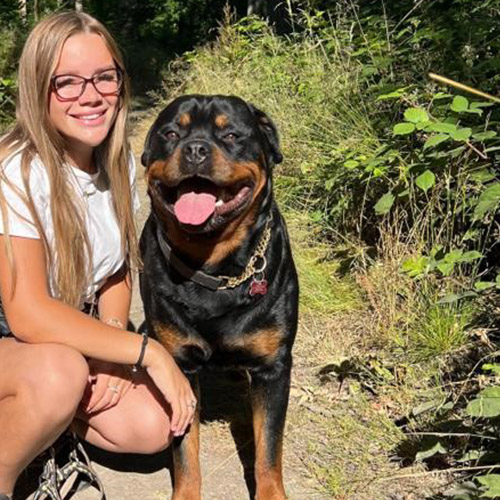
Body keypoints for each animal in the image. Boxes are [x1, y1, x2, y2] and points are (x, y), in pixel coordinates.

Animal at [139, 95, 298, 500]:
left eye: (231, 135)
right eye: (171, 133)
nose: (195, 149)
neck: (214, 268)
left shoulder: (273, 368)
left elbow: (269, 449)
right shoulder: (177, 368)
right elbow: (184, 451)